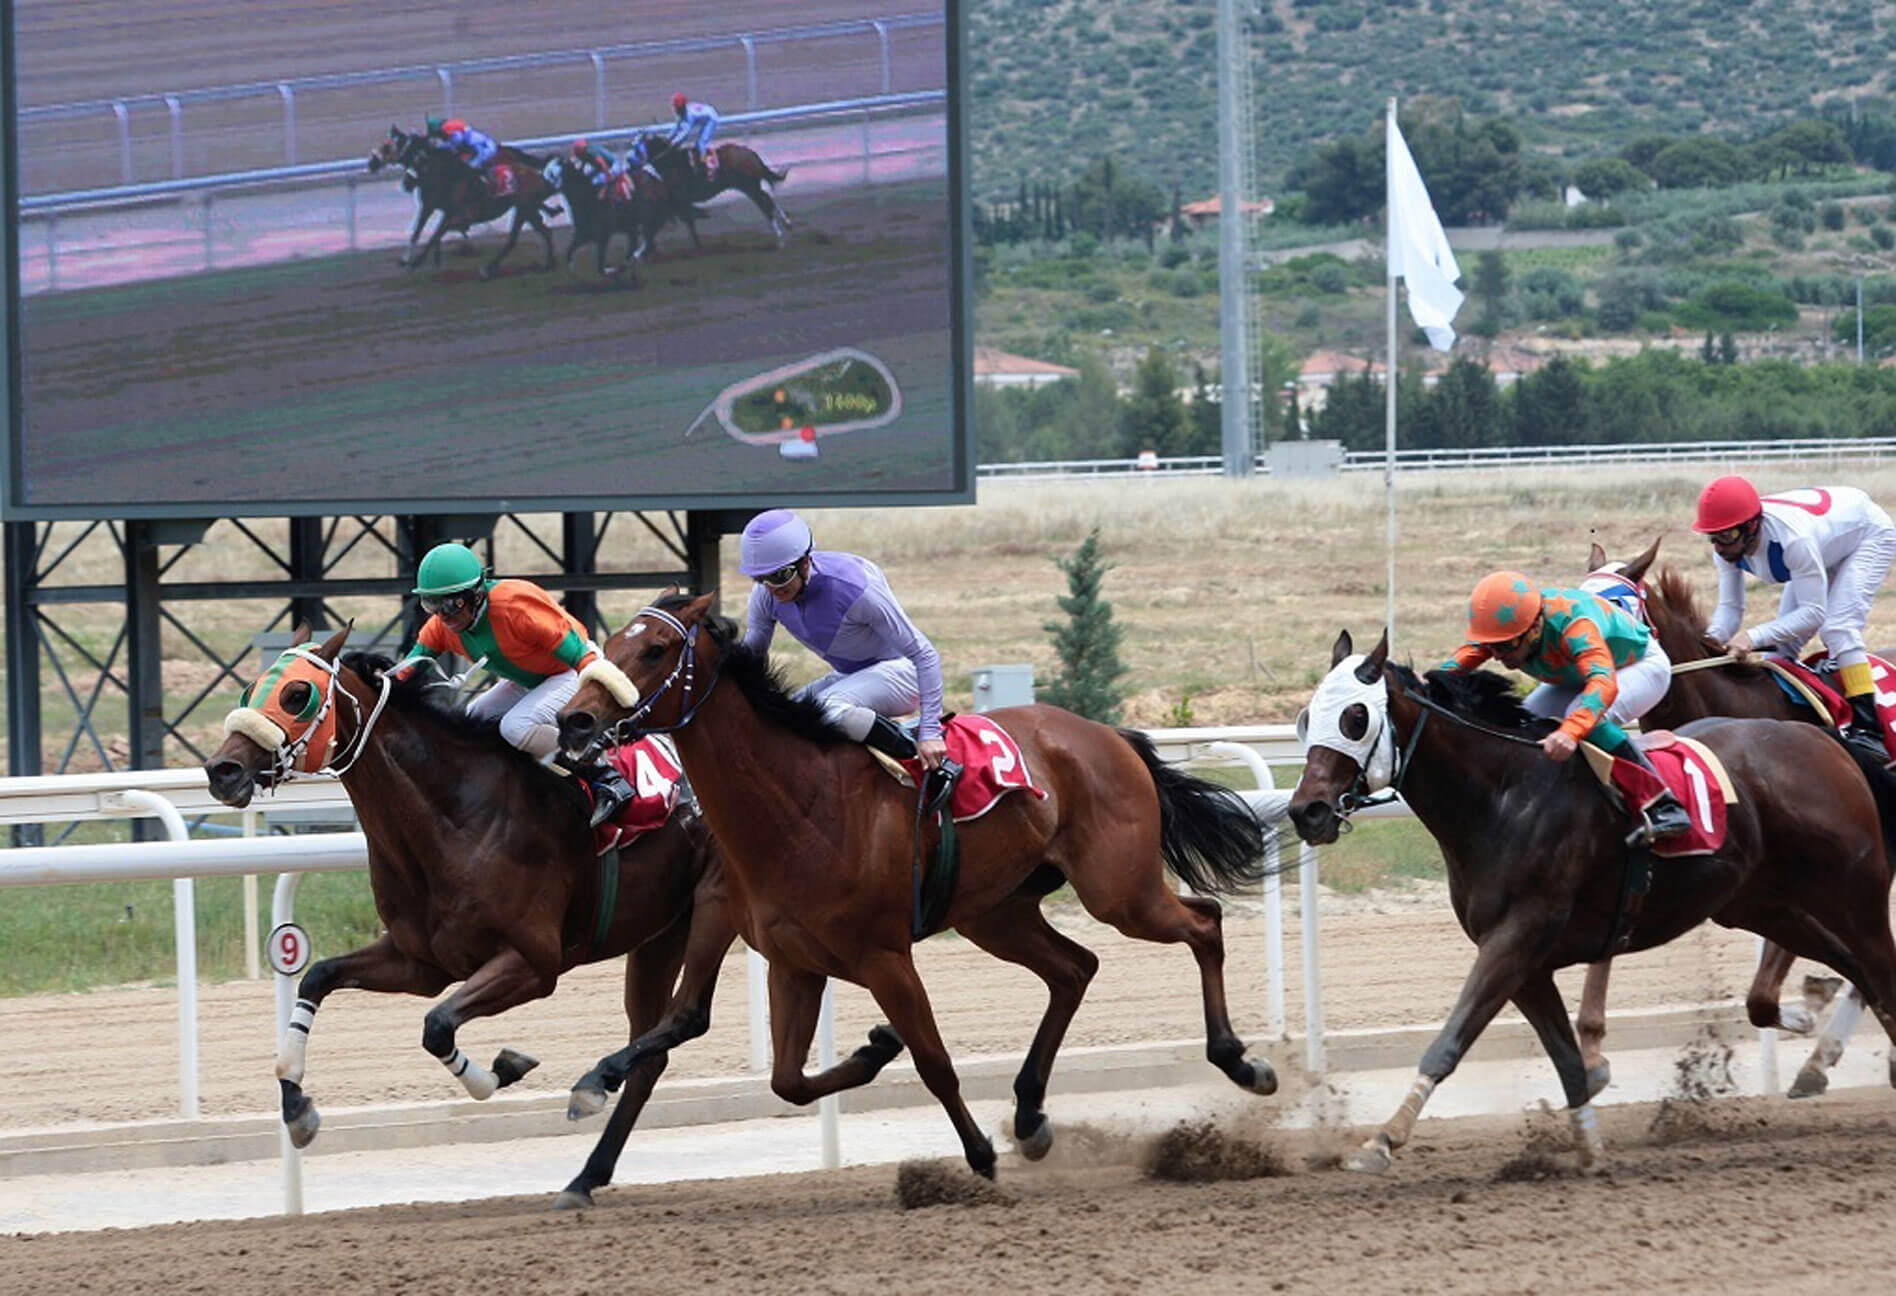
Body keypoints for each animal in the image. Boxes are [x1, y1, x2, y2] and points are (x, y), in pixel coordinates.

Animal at [203, 629, 735, 1212]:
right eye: (251, 687)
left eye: (297, 693)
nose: (222, 771)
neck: (455, 816)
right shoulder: (420, 961)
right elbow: (317, 977)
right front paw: (297, 1106)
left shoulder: (533, 963)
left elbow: (437, 1025)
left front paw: (502, 1070)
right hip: (660, 932)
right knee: (650, 1050)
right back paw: (585, 1173)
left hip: (718, 907)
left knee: (686, 1017)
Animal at [553, 591, 1281, 1182]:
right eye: (609, 643)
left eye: (655, 649)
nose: (575, 722)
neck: (799, 805)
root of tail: (1110, 734)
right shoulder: (795, 963)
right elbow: (789, 1082)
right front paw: (877, 1047)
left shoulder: (885, 957)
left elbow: (933, 1062)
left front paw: (979, 1157)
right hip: (998, 912)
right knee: (1076, 968)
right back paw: (1030, 1115)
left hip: (1118, 889)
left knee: (1203, 922)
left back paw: (1242, 1062)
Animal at [1289, 632, 1896, 1182]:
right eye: (1307, 717)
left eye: (1355, 717)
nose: (1306, 811)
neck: (1505, 796)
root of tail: (1825, 740)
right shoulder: (1525, 962)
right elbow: (1566, 1062)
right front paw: (1588, 1152)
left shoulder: (1515, 939)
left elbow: (1448, 1043)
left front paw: (1382, 1141)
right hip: (1765, 905)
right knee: (1844, 975)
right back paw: (1811, 1020)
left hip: (1853, 892)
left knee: (1878, 973)